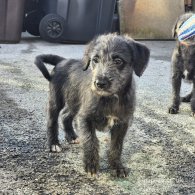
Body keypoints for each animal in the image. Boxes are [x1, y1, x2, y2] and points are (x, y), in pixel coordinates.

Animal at [35, 34, 150, 178]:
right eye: (95, 60)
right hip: (56, 100)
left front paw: (117, 166)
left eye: (118, 61)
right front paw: (91, 165)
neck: (110, 98)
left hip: (75, 101)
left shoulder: (122, 123)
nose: (99, 83)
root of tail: (63, 61)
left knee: (66, 115)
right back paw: (54, 144)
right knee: (52, 120)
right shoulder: (85, 118)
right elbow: (90, 140)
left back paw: (72, 136)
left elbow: (116, 146)